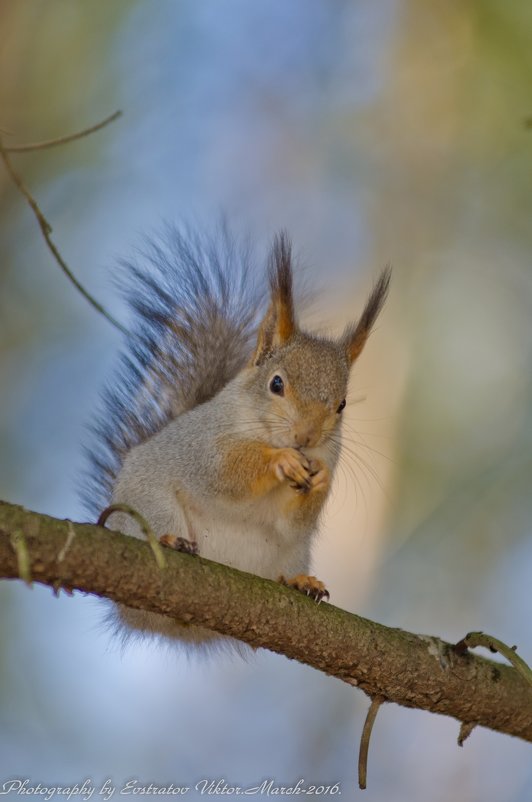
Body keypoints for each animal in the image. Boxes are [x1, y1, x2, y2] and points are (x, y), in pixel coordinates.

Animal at [85, 222, 388, 648]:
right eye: (276, 384)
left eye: (342, 404)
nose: (307, 437)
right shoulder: (205, 443)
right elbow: (224, 473)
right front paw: (279, 461)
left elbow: (292, 520)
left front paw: (322, 480)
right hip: (149, 506)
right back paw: (170, 542)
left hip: (291, 552)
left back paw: (299, 581)